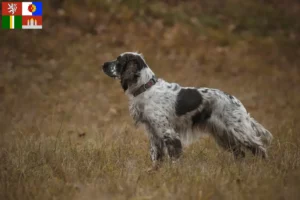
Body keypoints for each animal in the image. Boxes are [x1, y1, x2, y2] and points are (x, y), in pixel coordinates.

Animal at [102, 51, 274, 169]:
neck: (146, 88)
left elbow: (174, 157)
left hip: (239, 131)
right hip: (223, 135)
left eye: (118, 61)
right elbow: (156, 157)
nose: (103, 64)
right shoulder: (153, 133)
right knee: (241, 153)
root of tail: (236, 101)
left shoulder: (168, 133)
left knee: (259, 148)